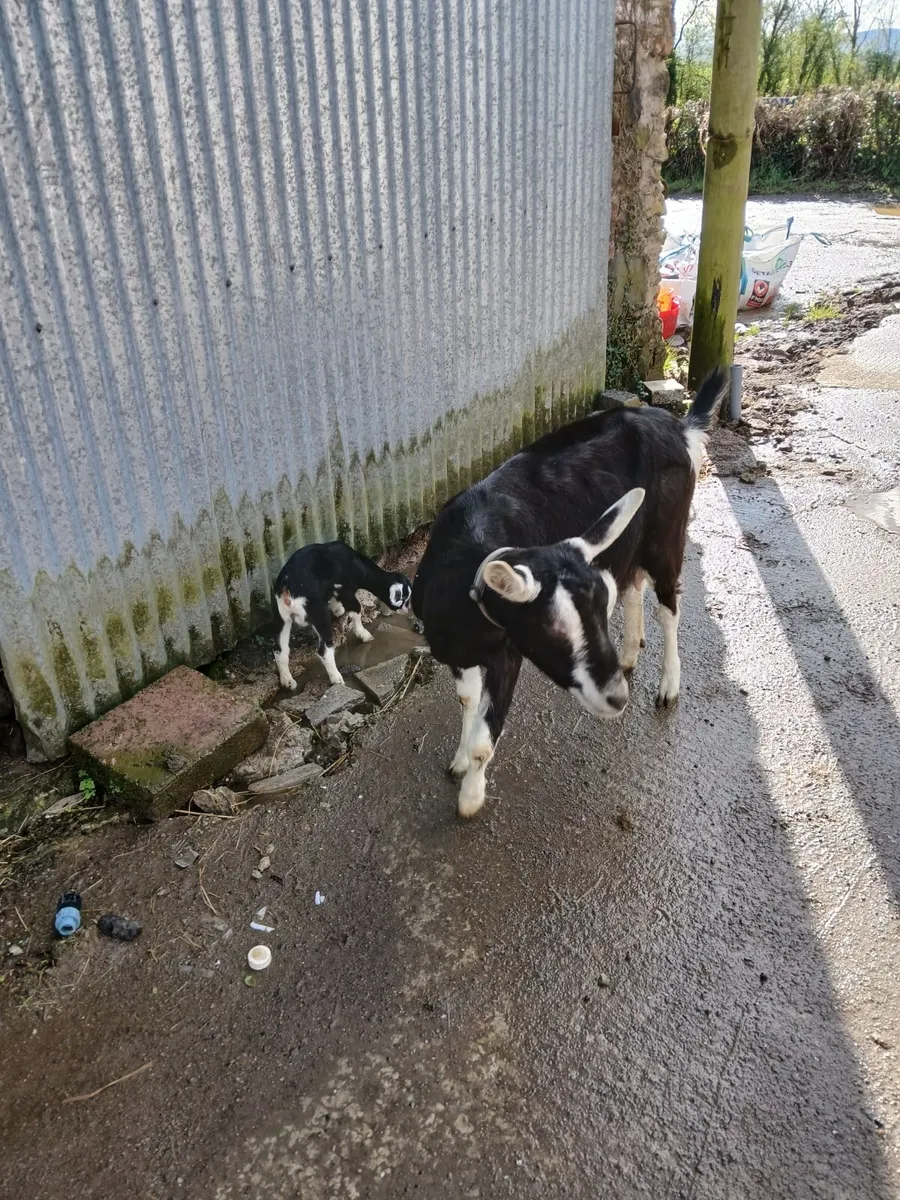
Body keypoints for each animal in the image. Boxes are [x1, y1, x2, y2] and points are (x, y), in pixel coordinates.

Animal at [273, 541, 411, 689]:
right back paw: (337, 678)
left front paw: (337, 609)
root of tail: (288, 586)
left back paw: (287, 681)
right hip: (318, 614)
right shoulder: (345, 589)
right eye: (404, 598)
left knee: (279, 650)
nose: (407, 610)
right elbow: (356, 608)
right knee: (323, 650)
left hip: (282, 617)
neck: (357, 563)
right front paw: (363, 634)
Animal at [412, 371, 726, 817]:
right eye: (554, 628)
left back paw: (668, 685)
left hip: (667, 536)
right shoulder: (458, 653)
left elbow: (483, 743)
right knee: (633, 586)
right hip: (627, 541)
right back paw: (628, 654)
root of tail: (678, 427)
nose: (616, 697)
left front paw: (469, 799)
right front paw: (456, 762)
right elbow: (466, 702)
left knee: (669, 603)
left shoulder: (507, 656)